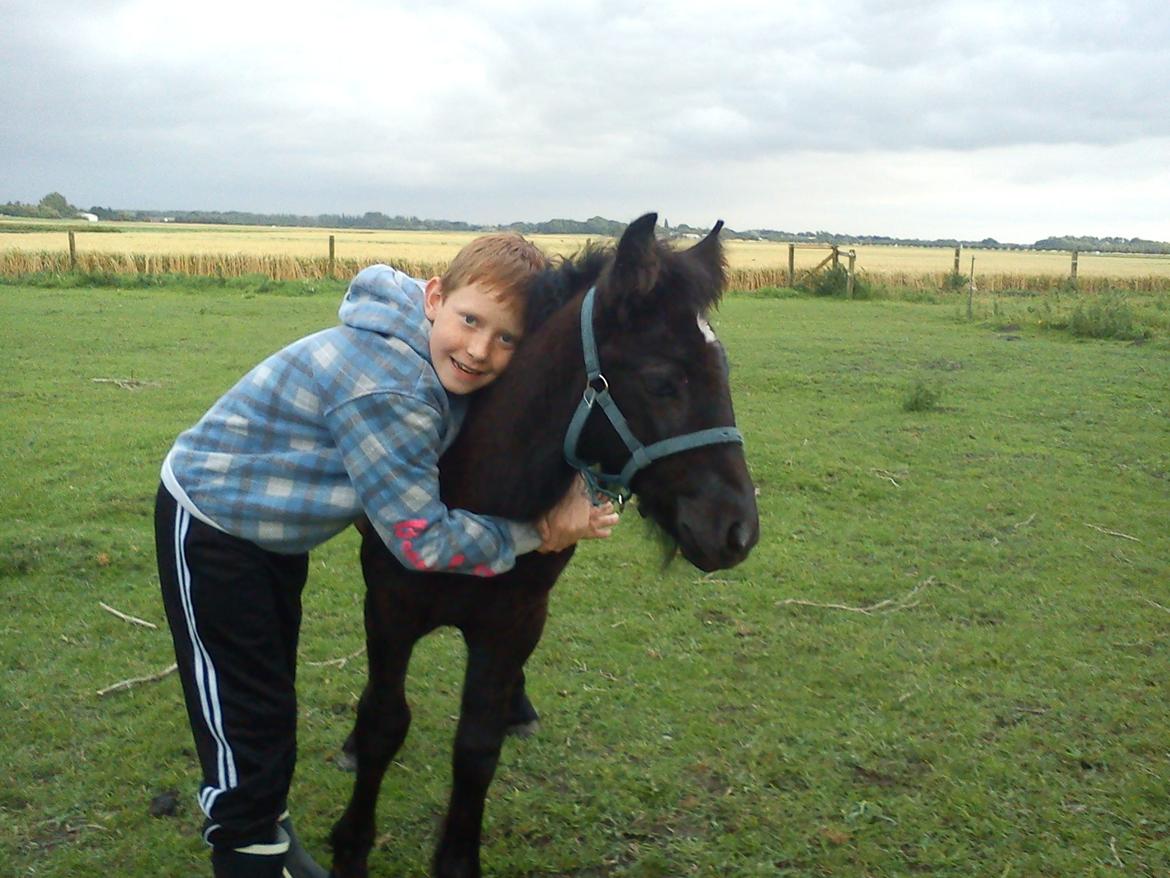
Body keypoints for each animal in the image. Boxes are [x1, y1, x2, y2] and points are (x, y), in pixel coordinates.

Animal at [328, 213, 759, 878]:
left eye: (726, 370)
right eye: (663, 382)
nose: (737, 531)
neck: (472, 488)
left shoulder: (513, 622)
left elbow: (476, 748)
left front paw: (457, 857)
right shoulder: (390, 608)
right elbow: (382, 721)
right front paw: (351, 843)